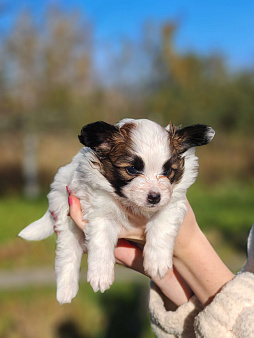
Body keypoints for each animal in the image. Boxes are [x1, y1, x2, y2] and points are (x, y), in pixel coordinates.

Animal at [18, 118, 215, 304]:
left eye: (167, 171)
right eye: (132, 169)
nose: (154, 197)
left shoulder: (172, 202)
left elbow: (162, 227)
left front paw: (157, 262)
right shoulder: (99, 211)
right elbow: (101, 242)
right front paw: (100, 275)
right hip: (66, 219)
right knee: (67, 255)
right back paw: (66, 290)